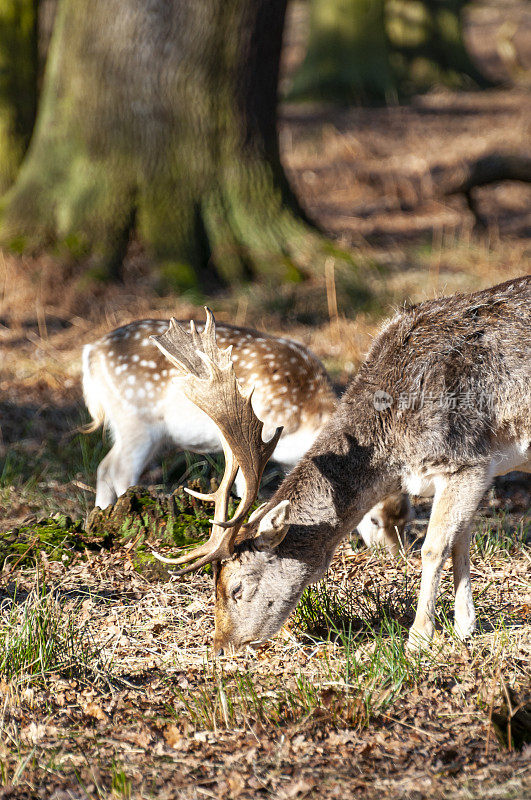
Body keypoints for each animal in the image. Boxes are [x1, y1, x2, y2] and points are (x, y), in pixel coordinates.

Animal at [151, 278, 531, 652]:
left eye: (237, 587)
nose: (219, 646)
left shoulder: (463, 458)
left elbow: (434, 547)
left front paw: (419, 637)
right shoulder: (475, 470)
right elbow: (461, 542)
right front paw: (465, 626)